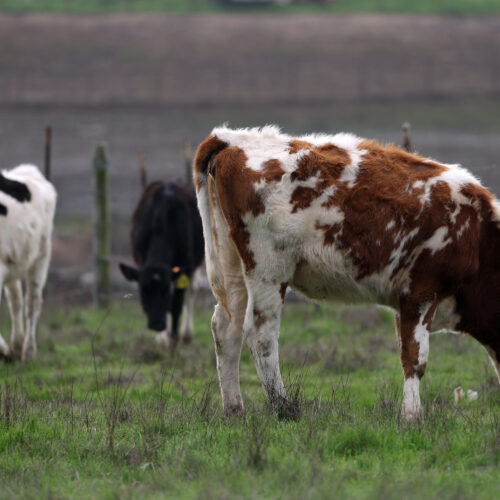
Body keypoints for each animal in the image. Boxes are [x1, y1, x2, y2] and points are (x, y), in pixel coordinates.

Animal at [120, 183, 204, 352]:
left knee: (191, 291)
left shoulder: (186, 265)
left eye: (165, 291)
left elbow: (176, 303)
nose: (156, 324)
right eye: (144, 291)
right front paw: (163, 338)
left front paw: (173, 338)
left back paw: (186, 335)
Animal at [193, 124, 500, 418]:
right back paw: (284, 407)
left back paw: (234, 409)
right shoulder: (421, 292)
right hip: (268, 270)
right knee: (261, 337)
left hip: (232, 267)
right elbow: (415, 359)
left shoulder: (404, 301)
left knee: (226, 330)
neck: (478, 236)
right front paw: (412, 415)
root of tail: (233, 139)